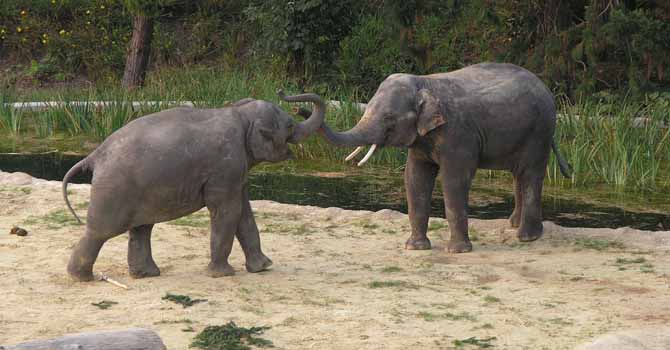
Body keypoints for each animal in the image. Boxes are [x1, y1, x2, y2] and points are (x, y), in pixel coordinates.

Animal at [300, 63, 572, 253]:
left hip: (539, 131)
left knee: (530, 174)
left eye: (389, 118)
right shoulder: (423, 140)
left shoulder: (458, 133)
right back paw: (513, 224)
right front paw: (415, 247)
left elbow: (453, 180)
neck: (424, 82)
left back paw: (526, 237)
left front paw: (458, 251)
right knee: (519, 174)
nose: (300, 109)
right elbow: (415, 178)